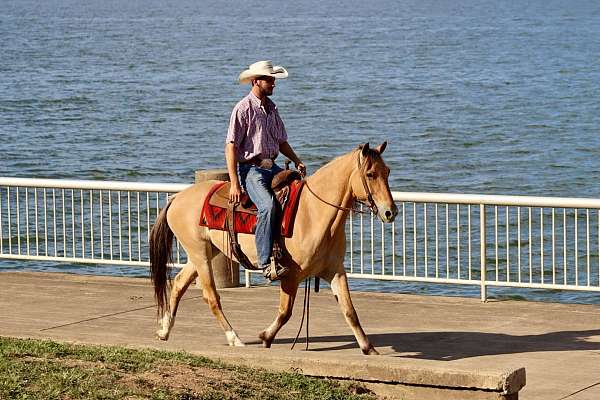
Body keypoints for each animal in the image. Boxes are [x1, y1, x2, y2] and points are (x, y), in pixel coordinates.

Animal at [148, 142, 396, 354]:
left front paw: (368, 348)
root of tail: (178, 197)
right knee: (211, 297)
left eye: (387, 171)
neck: (313, 212)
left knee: (179, 284)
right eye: (370, 174)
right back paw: (234, 339)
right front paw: (265, 337)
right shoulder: (291, 275)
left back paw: (164, 330)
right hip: (199, 254)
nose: (390, 212)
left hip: (205, 252)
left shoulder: (335, 271)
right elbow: (285, 312)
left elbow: (350, 311)